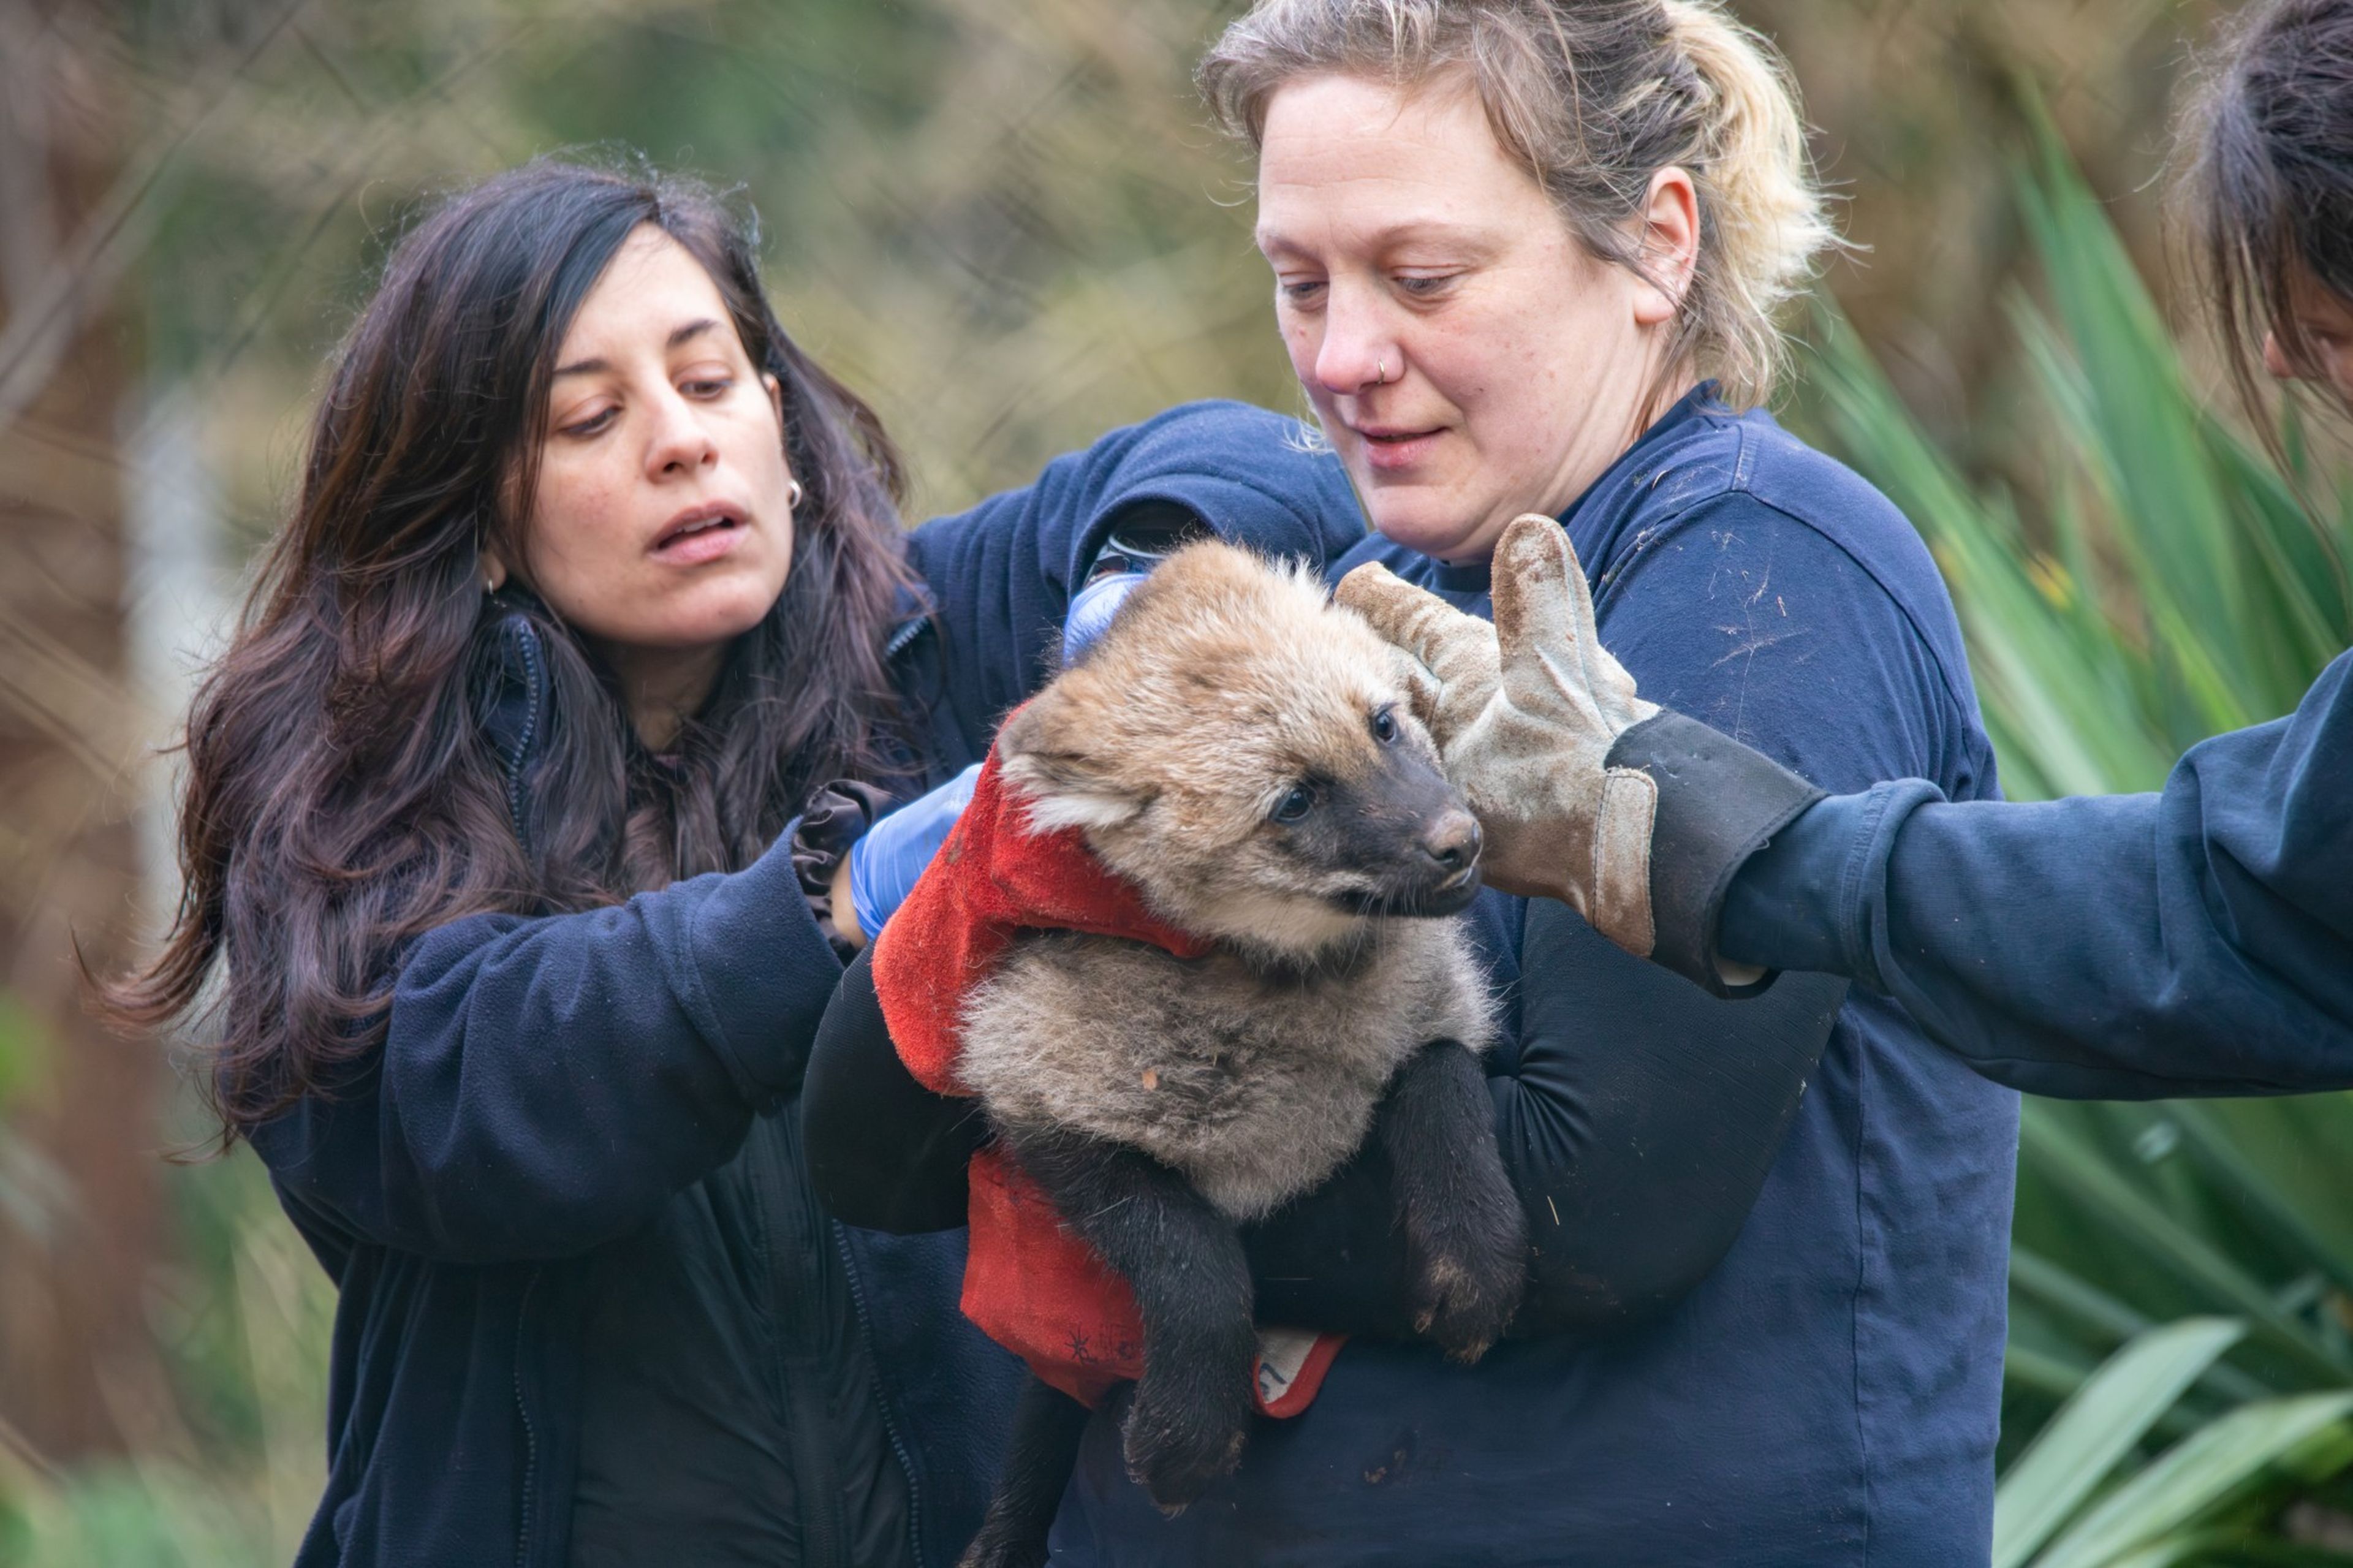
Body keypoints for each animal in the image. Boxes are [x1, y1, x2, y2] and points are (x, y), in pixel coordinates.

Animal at [954, 541, 1528, 1568]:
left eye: (1385, 724)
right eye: (1294, 800)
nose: (1462, 843)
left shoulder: (1437, 1019)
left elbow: (1442, 1081)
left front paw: (1477, 1257)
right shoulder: (1047, 1105)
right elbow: (1194, 1261)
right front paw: (1186, 1431)